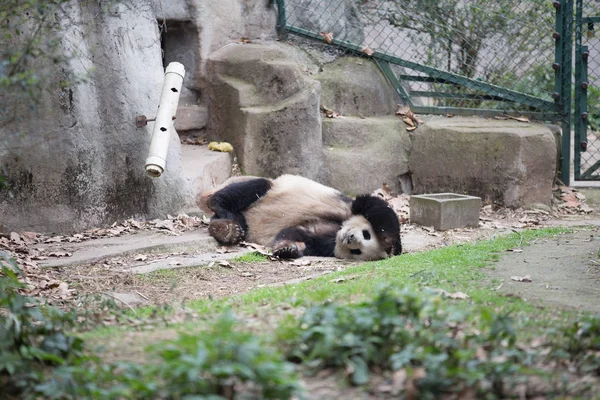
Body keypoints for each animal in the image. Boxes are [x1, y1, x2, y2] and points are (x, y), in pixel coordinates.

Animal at [198, 174, 404, 260]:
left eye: (357, 251)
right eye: (367, 234)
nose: (350, 238)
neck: (339, 228)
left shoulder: (326, 243)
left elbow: (299, 233)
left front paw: (288, 249)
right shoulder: (349, 206)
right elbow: (377, 207)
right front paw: (389, 240)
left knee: (231, 220)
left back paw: (226, 229)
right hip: (267, 188)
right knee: (254, 188)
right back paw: (220, 206)